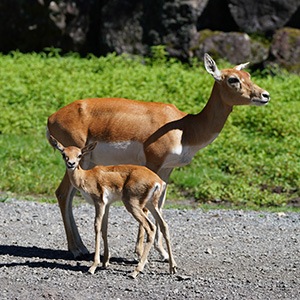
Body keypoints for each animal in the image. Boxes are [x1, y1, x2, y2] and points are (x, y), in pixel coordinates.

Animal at [46, 54, 270, 260]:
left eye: (248, 75)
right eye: (233, 79)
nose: (265, 95)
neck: (185, 128)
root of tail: (51, 117)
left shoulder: (168, 169)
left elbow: (160, 204)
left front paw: (162, 252)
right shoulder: (152, 163)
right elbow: (146, 207)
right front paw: (140, 252)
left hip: (83, 162)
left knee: (69, 195)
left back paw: (80, 248)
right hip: (76, 159)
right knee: (63, 194)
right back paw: (77, 249)